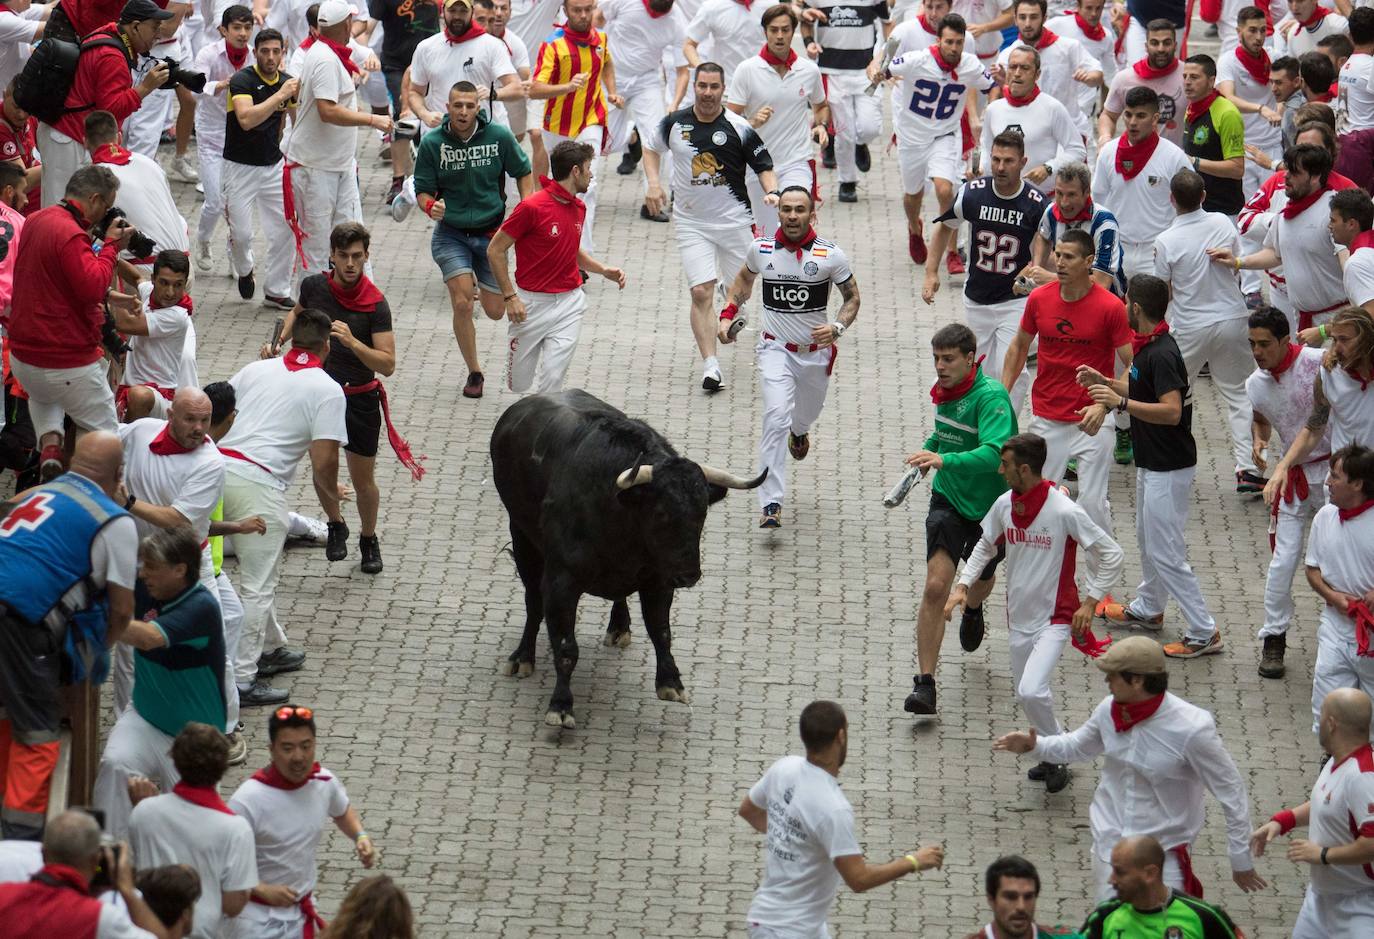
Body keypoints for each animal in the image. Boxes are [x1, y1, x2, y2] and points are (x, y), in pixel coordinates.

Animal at [486, 390, 769, 725]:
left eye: (702, 512)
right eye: (660, 513)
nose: (689, 575)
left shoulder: (659, 580)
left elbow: (661, 631)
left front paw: (671, 682)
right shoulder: (561, 581)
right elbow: (566, 646)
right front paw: (561, 705)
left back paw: (619, 626)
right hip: (521, 535)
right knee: (532, 600)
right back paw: (522, 657)